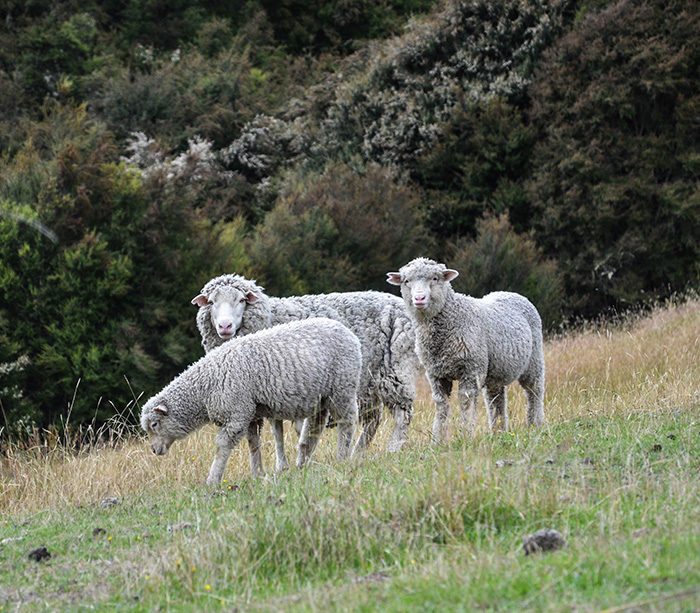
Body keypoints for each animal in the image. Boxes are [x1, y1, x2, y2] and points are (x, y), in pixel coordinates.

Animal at [140, 316, 364, 482]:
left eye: (155, 424)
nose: (154, 450)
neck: (205, 387)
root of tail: (348, 332)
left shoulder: (237, 415)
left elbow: (222, 447)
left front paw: (213, 479)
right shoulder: (250, 414)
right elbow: (253, 444)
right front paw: (257, 474)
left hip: (342, 388)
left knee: (347, 422)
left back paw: (342, 457)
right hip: (321, 398)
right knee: (314, 429)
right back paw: (303, 463)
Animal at [191, 272, 422, 464]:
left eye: (241, 300)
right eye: (211, 302)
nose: (225, 326)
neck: (271, 316)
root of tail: (399, 303)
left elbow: (295, 428)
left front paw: (302, 459)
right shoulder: (270, 392)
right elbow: (276, 432)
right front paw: (281, 466)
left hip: (395, 368)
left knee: (402, 414)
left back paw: (392, 449)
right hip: (369, 382)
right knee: (372, 420)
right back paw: (357, 453)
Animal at [386, 256, 544, 440]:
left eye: (435, 278)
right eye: (406, 281)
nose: (419, 298)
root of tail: (510, 293)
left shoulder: (471, 369)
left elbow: (466, 402)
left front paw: (465, 436)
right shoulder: (435, 374)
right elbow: (441, 405)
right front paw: (437, 439)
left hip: (534, 361)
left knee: (534, 392)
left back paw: (535, 425)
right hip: (495, 370)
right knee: (496, 399)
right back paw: (499, 432)